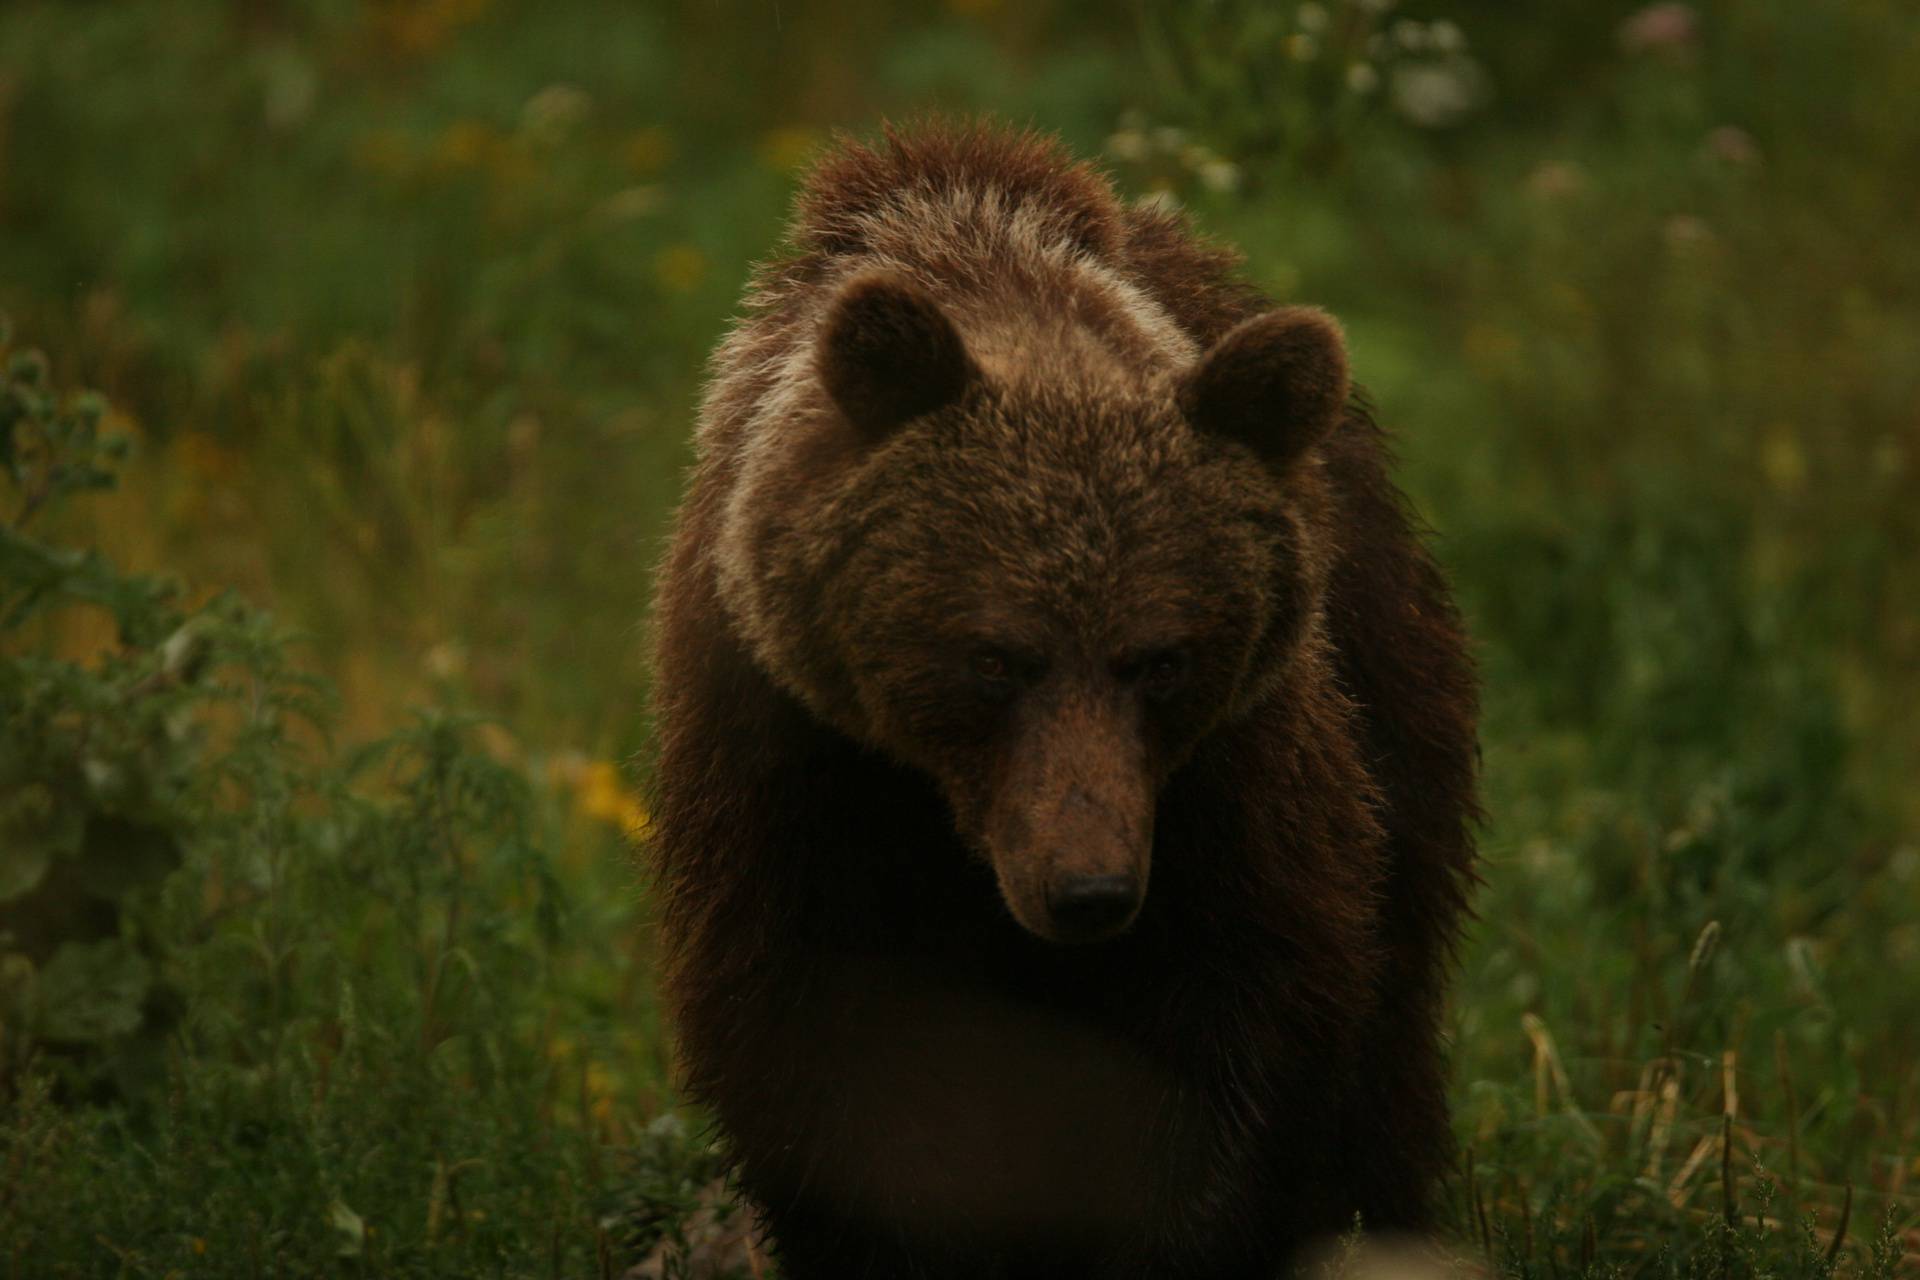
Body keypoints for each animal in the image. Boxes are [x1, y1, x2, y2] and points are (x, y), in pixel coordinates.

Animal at [652, 122, 1474, 1280]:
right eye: (997, 656)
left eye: (1161, 657)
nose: (1088, 889)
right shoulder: (791, 760)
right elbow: (822, 1052)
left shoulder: (1231, 781)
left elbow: (1252, 1027)